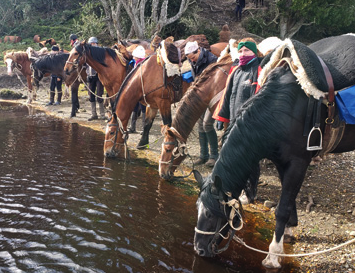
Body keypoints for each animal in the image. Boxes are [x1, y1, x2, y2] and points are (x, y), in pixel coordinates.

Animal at [193, 34, 355, 268]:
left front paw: (274, 254)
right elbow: (289, 202)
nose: (199, 249)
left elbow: (282, 208)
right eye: (197, 207)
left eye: (209, 213)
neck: (282, 110)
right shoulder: (282, 161)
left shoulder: (298, 162)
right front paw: (289, 231)